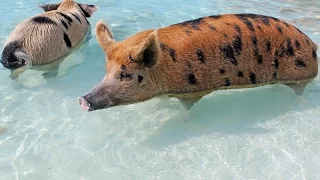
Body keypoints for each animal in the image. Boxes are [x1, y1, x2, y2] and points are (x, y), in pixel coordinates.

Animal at [78, 14, 318, 111]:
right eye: (106, 71)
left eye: (125, 75)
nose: (83, 99)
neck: (162, 70)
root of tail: (312, 44)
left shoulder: (191, 91)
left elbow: (187, 109)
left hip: (298, 72)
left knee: (300, 92)